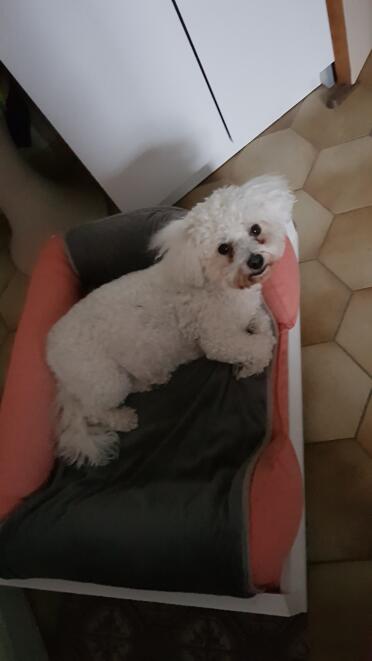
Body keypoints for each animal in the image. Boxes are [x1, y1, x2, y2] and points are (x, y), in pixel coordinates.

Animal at [47, 174, 294, 464]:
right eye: (223, 249)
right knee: (94, 410)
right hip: (104, 378)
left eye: (255, 230)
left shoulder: (249, 312)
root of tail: (52, 357)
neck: (215, 284)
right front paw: (251, 366)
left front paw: (252, 360)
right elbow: (260, 344)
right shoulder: (219, 341)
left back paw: (152, 380)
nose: (256, 261)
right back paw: (123, 419)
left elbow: (263, 328)